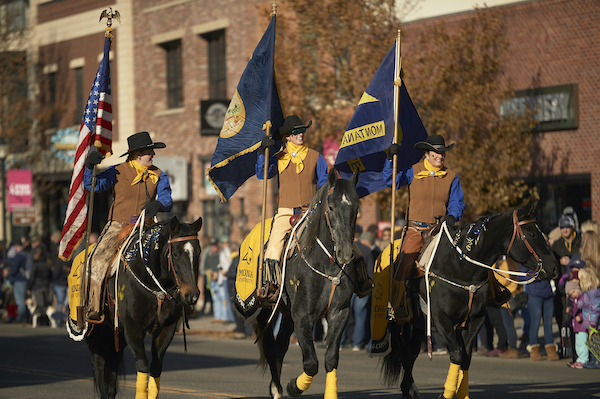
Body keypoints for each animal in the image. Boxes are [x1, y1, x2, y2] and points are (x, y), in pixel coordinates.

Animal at [84, 217, 203, 399]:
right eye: (175, 254)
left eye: (198, 252)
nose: (192, 295)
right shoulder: (133, 328)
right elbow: (143, 365)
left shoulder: (166, 329)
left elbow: (155, 368)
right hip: (96, 330)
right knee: (99, 361)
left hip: (117, 334)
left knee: (114, 361)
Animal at [238, 170, 360, 399]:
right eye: (331, 207)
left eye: (356, 208)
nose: (345, 252)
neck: (325, 263)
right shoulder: (303, 315)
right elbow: (311, 363)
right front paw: (293, 386)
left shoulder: (339, 312)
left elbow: (330, 359)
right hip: (265, 310)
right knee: (270, 347)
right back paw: (277, 389)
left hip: (286, 313)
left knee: (281, 345)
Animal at [382, 202, 560, 399]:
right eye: (532, 234)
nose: (554, 267)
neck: (460, 269)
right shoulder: (442, 320)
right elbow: (457, 356)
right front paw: (445, 394)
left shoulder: (475, 320)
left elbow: (465, 359)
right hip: (402, 323)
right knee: (405, 354)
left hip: (420, 325)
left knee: (411, 354)